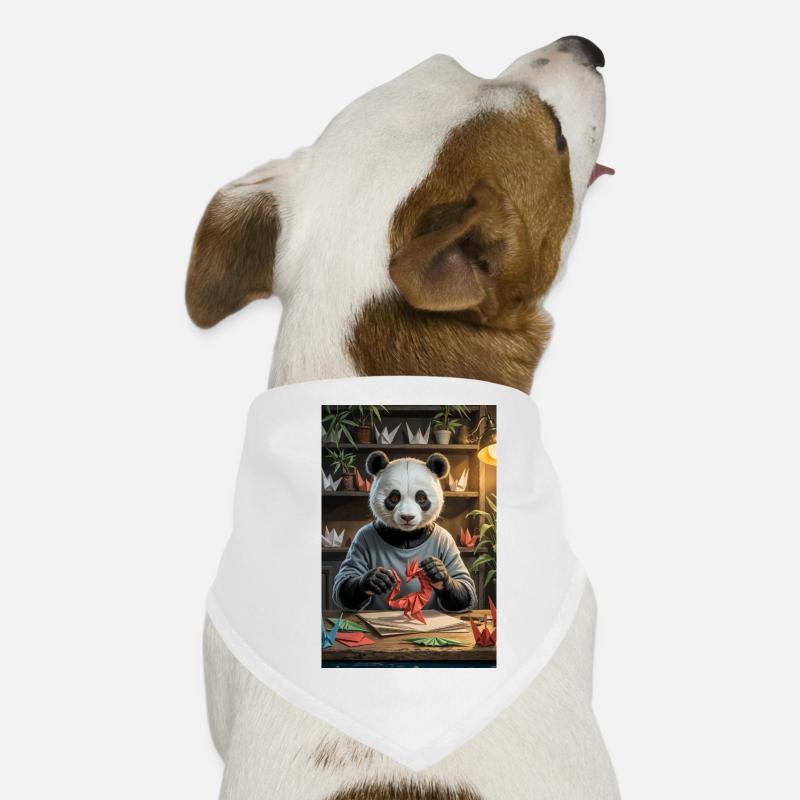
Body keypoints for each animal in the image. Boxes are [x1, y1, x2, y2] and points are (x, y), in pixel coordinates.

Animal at [332, 450, 477, 614]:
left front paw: (436, 571)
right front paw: (376, 579)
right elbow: (345, 581)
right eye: (394, 497)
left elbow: (465, 585)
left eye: (421, 497)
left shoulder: (447, 540)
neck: (406, 535)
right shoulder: (361, 538)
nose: (407, 517)